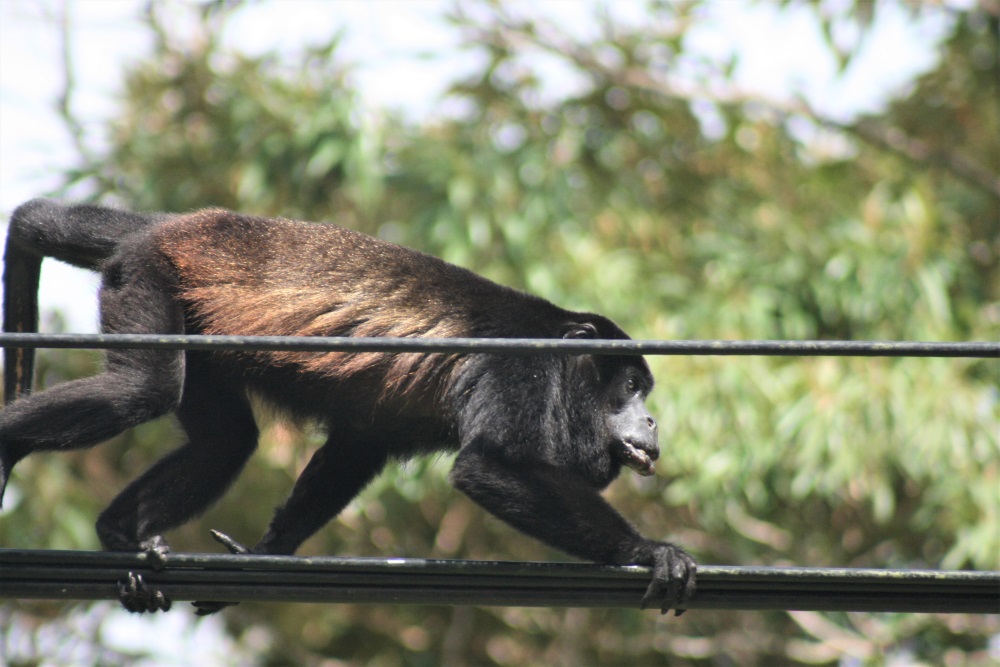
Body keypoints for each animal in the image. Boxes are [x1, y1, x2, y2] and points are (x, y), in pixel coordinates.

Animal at [0, 199, 696, 615]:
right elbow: (489, 466)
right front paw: (652, 551)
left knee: (226, 441)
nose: (652, 419)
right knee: (141, 390)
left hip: (193, 319)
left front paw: (265, 557)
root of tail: (162, 226)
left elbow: (358, 446)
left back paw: (121, 537)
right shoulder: (514, 366)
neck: (558, 351)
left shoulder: (382, 427)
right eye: (629, 387)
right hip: (146, 277)